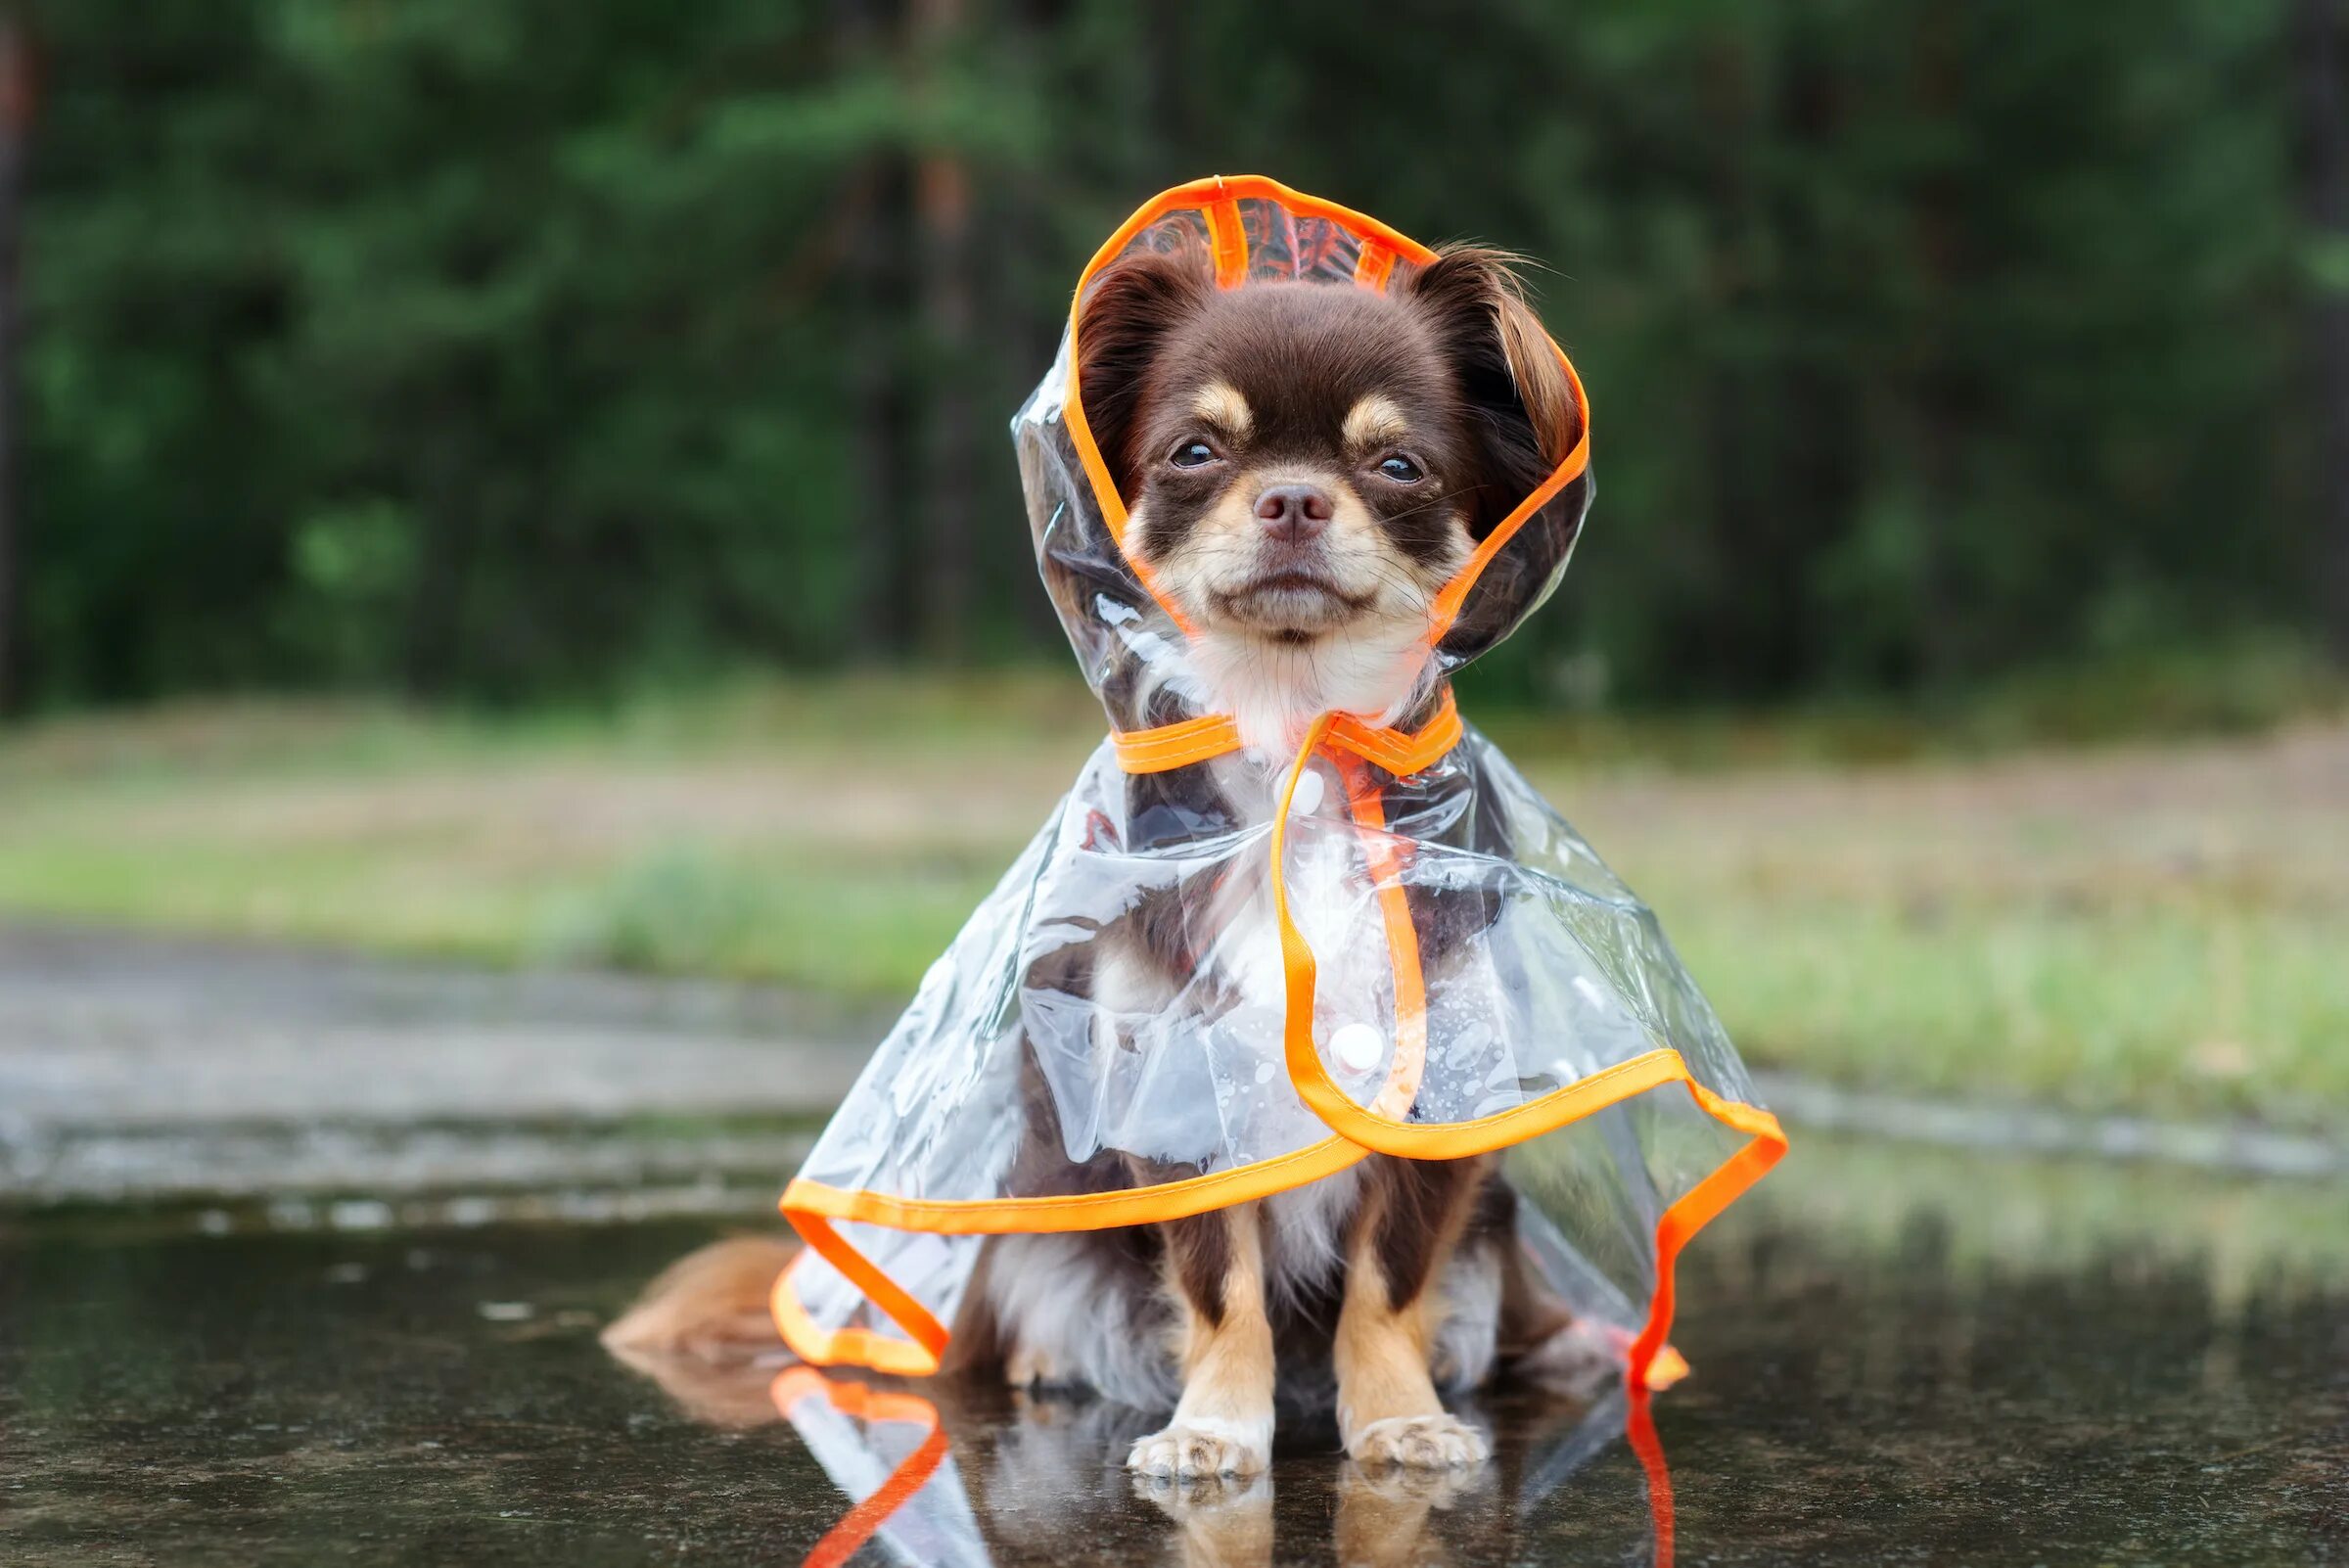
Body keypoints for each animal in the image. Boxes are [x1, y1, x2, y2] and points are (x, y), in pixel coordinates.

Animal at [606, 239, 1606, 1474]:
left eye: (1400, 466)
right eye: (1195, 452)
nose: (1291, 497)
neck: (1289, 739)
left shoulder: (1442, 1100)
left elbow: (1386, 1287)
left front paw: (1398, 1418)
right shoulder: (1169, 1092)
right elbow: (1221, 1288)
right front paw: (1215, 1428)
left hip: (1500, 1223)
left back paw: (1565, 1347)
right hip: (1034, 1245)